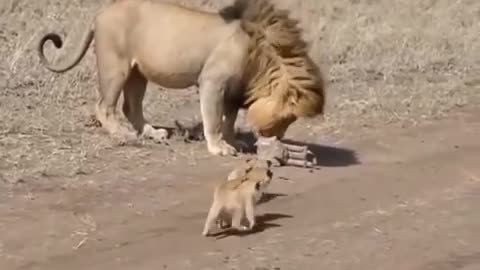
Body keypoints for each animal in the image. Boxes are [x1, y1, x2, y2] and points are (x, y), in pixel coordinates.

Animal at [37, 0, 326, 156]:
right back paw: (124, 135)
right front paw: (219, 147)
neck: (261, 55)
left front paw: (233, 141)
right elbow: (214, 119)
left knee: (131, 107)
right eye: (289, 118)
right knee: (104, 106)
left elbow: (230, 119)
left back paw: (152, 133)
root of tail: (100, 14)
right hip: (115, 67)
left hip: (138, 72)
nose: (276, 138)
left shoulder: (235, 89)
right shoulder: (212, 82)